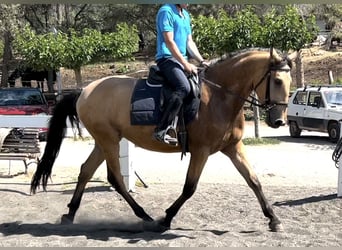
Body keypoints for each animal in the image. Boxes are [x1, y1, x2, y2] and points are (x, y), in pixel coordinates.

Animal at [30, 47, 296, 232]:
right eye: (277, 81)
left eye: (290, 82)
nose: (279, 121)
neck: (219, 96)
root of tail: (84, 91)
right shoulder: (201, 151)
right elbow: (189, 187)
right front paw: (165, 218)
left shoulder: (233, 147)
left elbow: (254, 181)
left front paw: (274, 219)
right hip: (109, 141)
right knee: (115, 178)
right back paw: (145, 216)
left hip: (103, 142)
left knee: (86, 171)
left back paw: (70, 214)